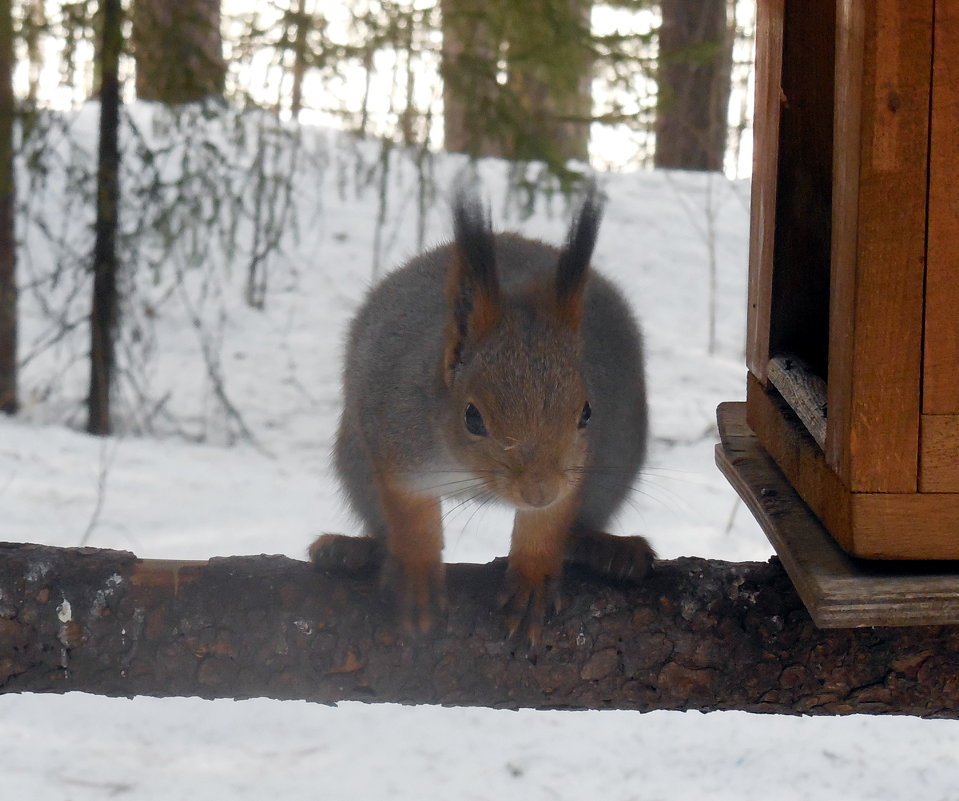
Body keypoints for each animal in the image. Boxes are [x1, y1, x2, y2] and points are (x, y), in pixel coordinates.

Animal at [312, 184, 656, 640]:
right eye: (472, 417)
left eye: (586, 413)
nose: (538, 492)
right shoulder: (395, 427)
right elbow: (410, 510)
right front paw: (417, 578)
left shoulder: (577, 465)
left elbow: (550, 519)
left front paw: (532, 577)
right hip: (354, 458)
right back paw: (353, 550)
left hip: (618, 459)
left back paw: (606, 549)